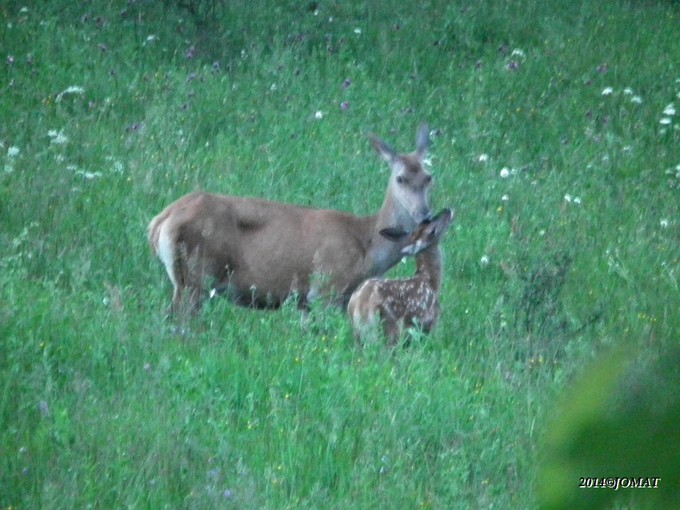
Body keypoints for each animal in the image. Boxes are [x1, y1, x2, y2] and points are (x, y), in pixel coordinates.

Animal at [149, 123, 436, 316]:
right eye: (400, 178)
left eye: (429, 177)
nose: (424, 213)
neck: (367, 249)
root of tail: (161, 220)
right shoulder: (326, 289)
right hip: (195, 276)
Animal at [348, 207, 454, 346]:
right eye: (432, 230)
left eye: (424, 222)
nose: (447, 210)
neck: (430, 281)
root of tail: (359, 304)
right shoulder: (430, 321)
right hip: (389, 327)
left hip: (358, 333)